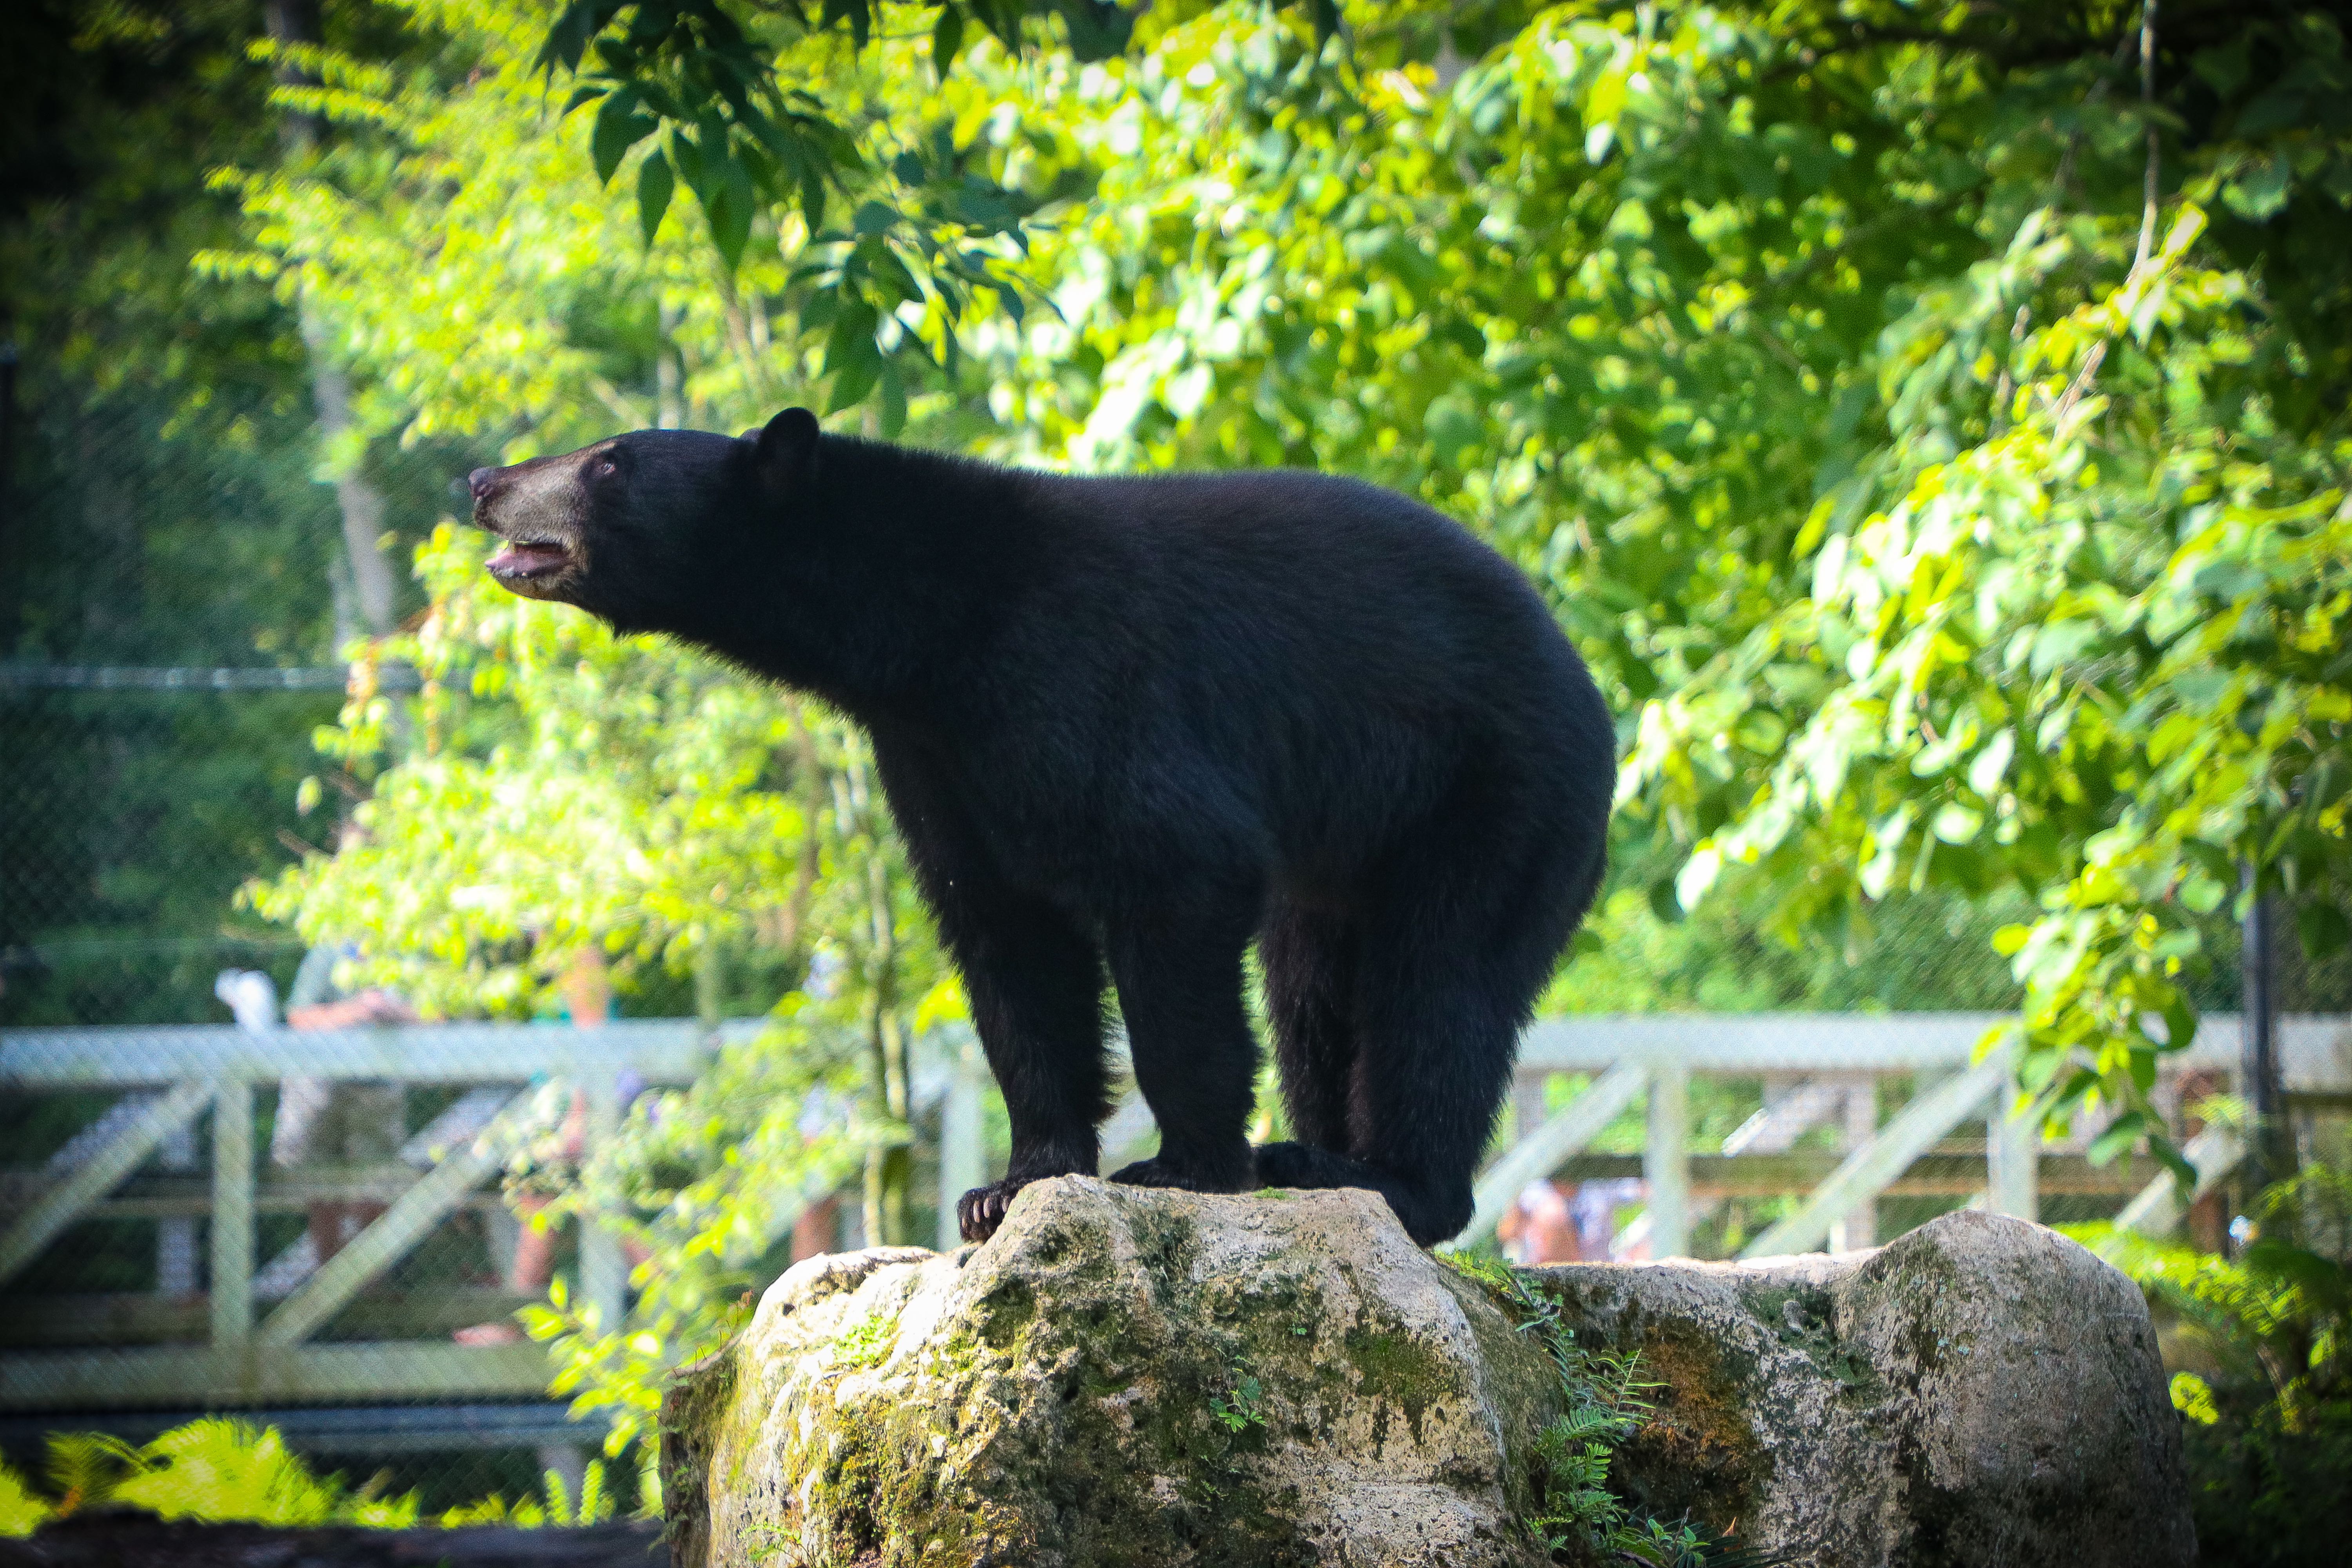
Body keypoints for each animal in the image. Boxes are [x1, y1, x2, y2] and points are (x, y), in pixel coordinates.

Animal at [477, 411, 1618, 1241]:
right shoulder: (936, 757)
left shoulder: (1086, 681)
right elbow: (1005, 941)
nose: (485, 481)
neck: (927, 630)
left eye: (610, 462)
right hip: (1348, 856)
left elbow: (1177, 874)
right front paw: (1013, 1183)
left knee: (1438, 981)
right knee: (1313, 992)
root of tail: (1590, 689)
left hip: (1489, 793)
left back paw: (1381, 1179)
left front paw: (1185, 1166)